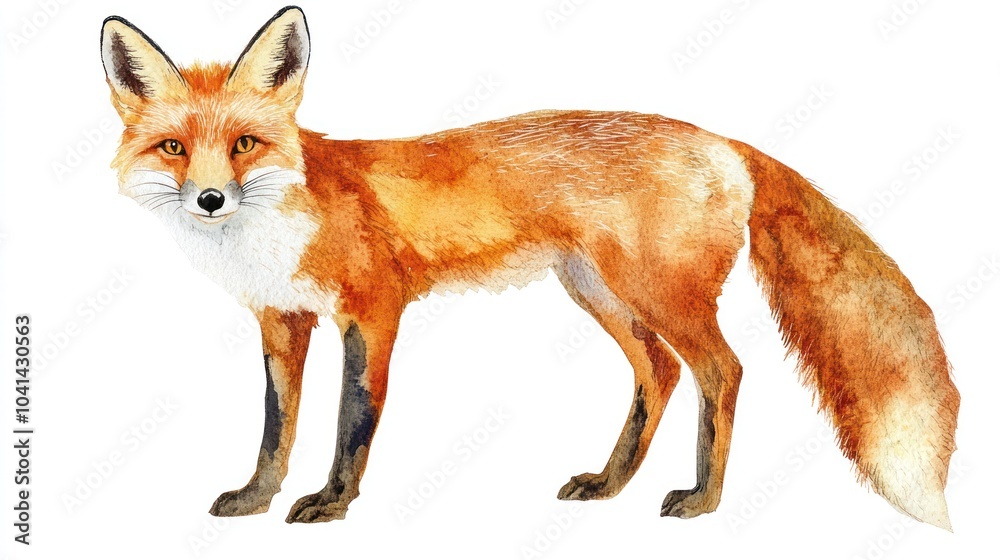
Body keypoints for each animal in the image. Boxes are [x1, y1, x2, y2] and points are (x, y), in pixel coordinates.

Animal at [100, 6, 959, 527]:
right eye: (174, 147)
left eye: (244, 143)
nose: (210, 198)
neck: (284, 216)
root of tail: (723, 139)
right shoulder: (282, 319)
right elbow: (275, 426)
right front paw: (256, 497)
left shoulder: (373, 311)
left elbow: (351, 421)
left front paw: (333, 503)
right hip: (598, 293)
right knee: (659, 374)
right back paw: (611, 484)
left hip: (660, 295)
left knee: (723, 371)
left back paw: (703, 499)